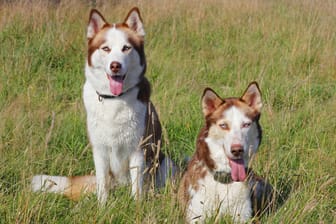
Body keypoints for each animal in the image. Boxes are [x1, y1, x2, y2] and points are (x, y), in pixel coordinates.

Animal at [31, 7, 177, 203]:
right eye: (106, 48)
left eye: (126, 48)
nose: (115, 65)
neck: (114, 99)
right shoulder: (99, 150)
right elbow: (102, 187)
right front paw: (102, 206)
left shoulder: (138, 149)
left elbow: (136, 189)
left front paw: (136, 206)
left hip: (165, 163)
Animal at [180, 82, 272, 224]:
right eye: (223, 125)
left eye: (246, 124)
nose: (237, 150)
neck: (225, 180)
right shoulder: (195, 216)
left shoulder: (242, 216)